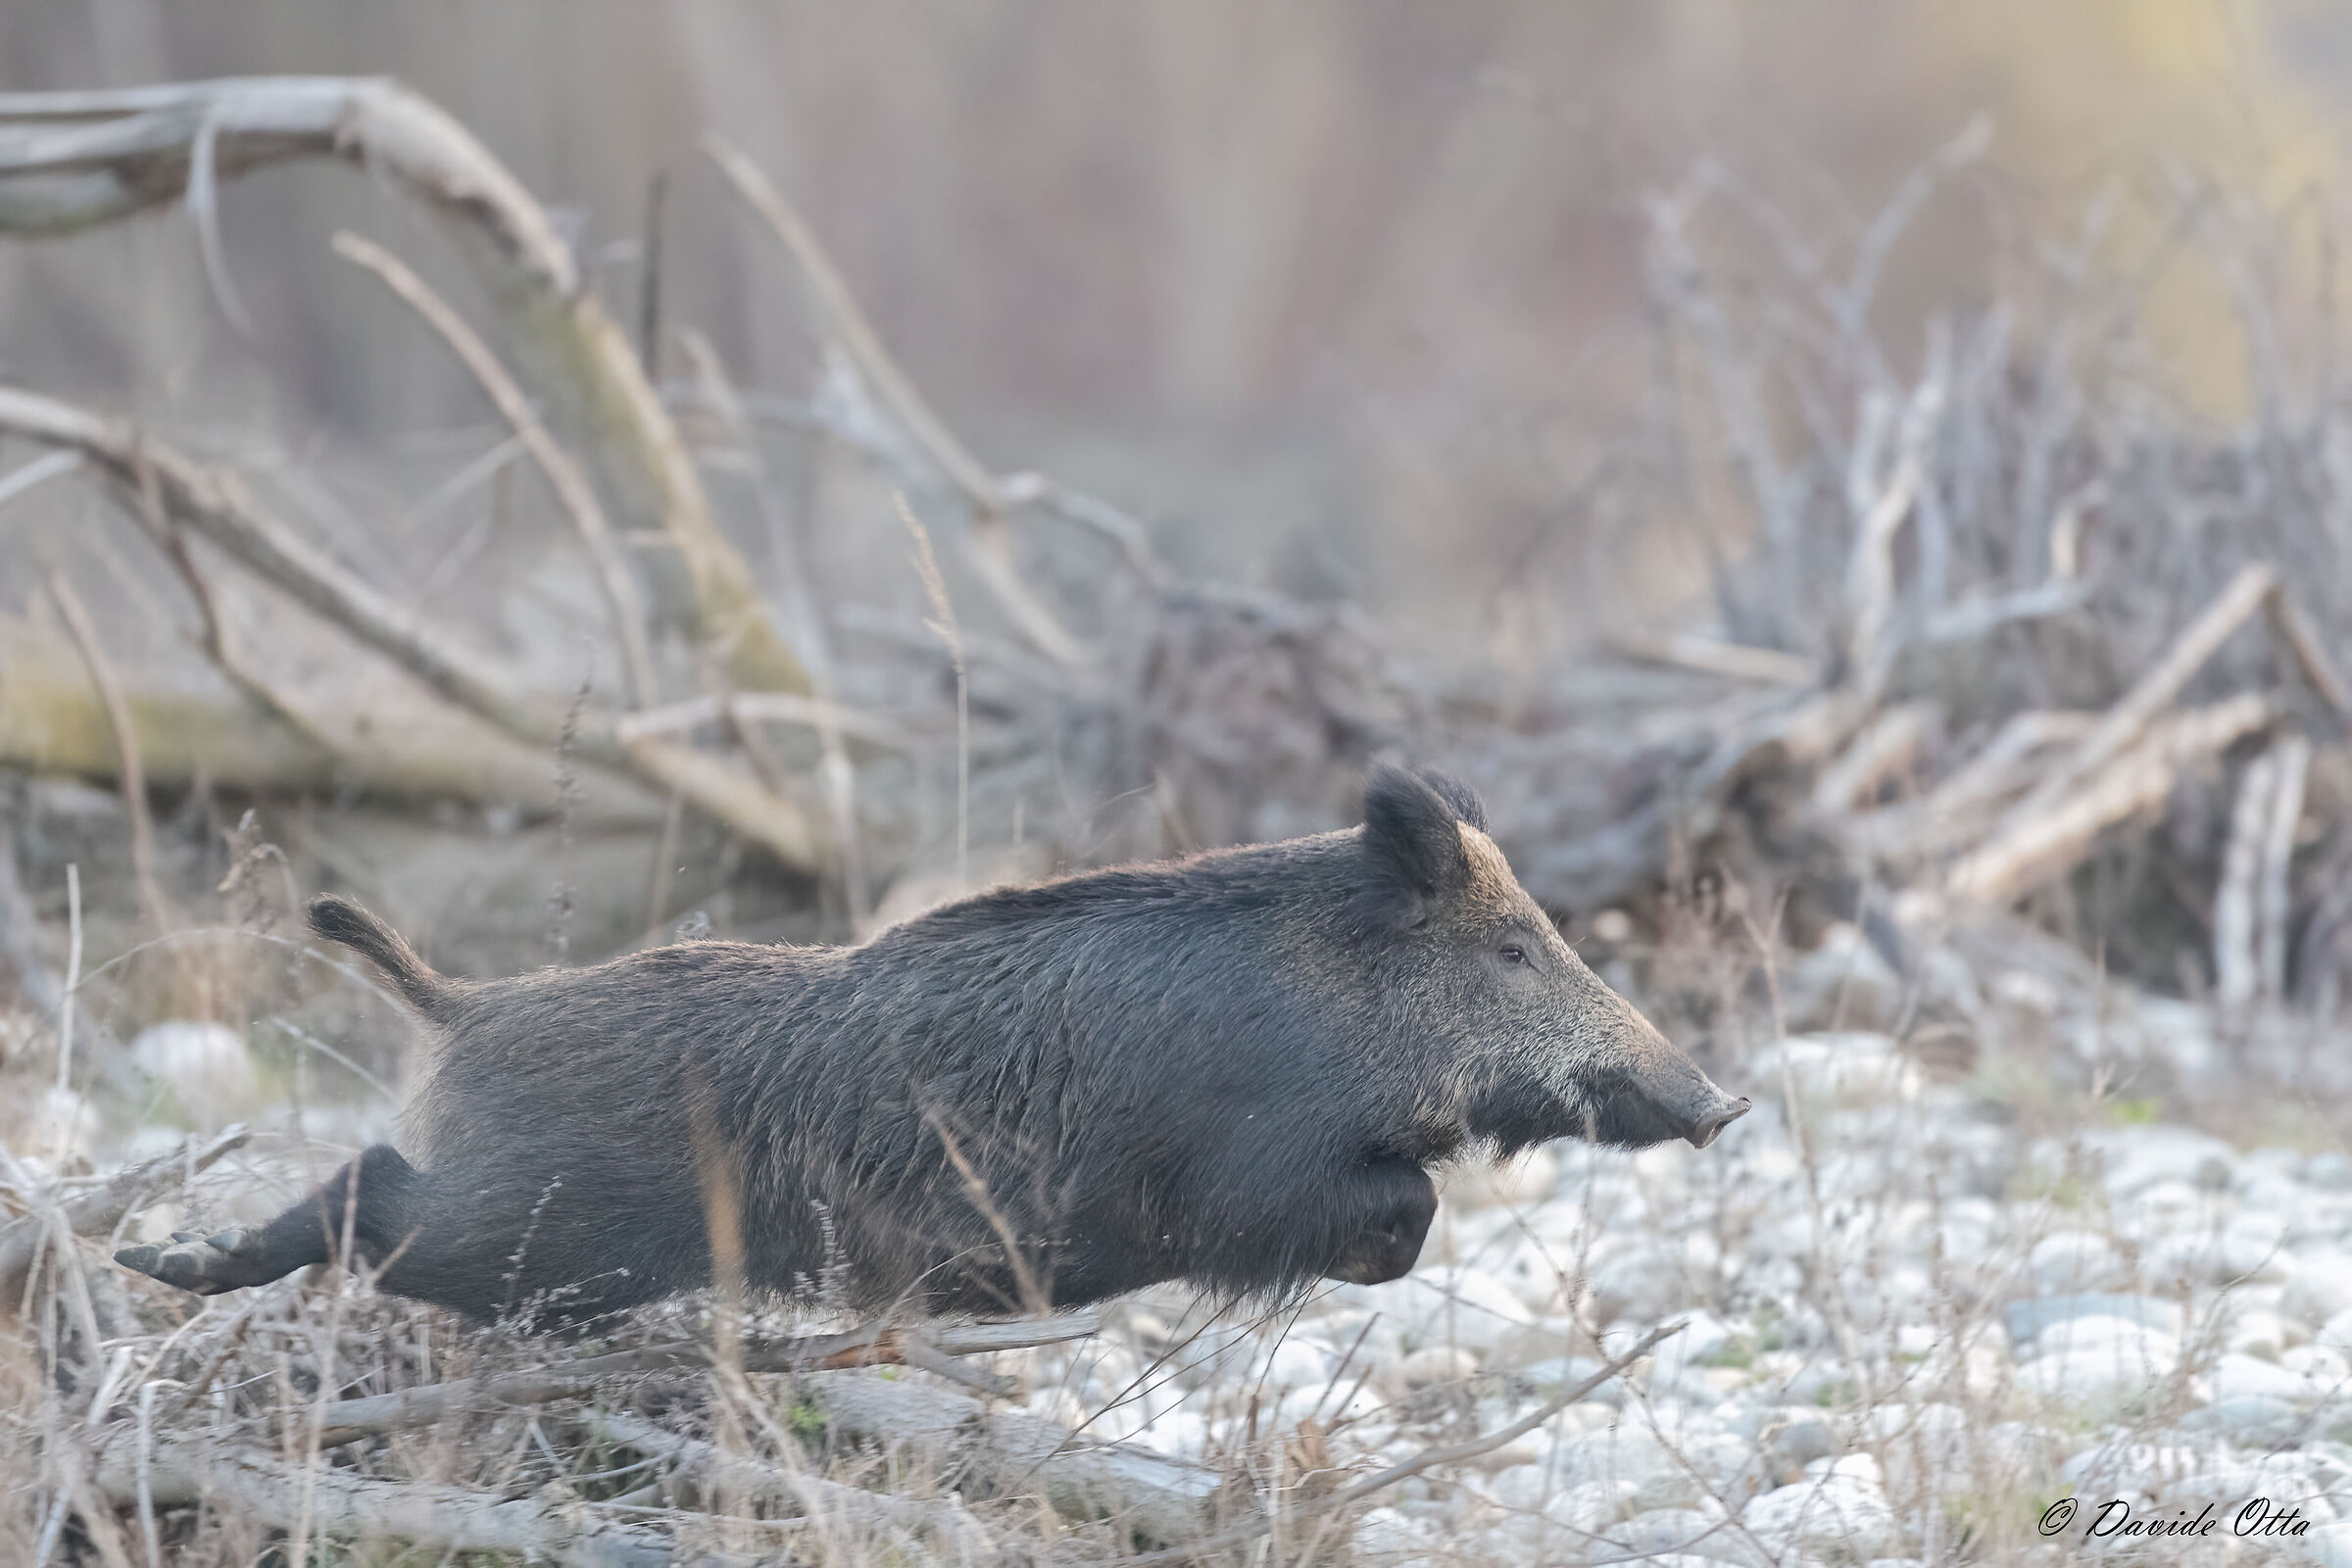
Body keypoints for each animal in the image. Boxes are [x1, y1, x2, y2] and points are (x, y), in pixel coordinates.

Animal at [116, 766, 1746, 1325]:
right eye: (1514, 948)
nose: (1724, 1104)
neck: (1332, 1012)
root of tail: (471, 1005)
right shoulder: (1245, 1172)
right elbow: (1400, 1212)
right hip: (526, 1218)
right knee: (363, 1192)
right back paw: (156, 1261)